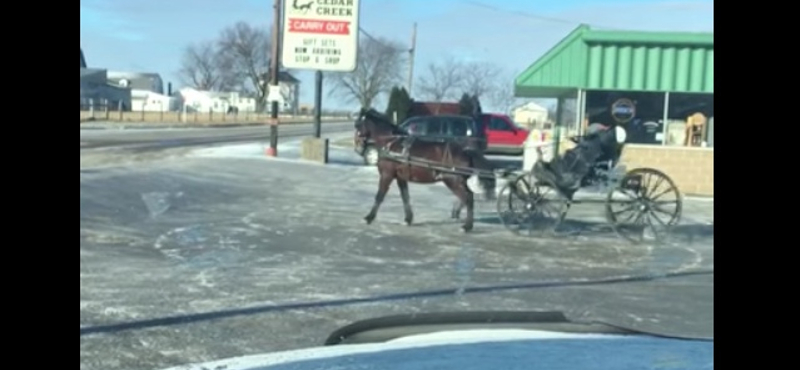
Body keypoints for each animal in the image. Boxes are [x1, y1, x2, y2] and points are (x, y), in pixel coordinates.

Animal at [354, 108, 500, 233]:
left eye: (359, 124)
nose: (357, 143)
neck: (391, 143)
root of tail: (465, 151)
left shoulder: (387, 175)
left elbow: (379, 196)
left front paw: (368, 217)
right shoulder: (400, 177)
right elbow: (405, 197)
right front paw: (408, 219)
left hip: (452, 180)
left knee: (468, 198)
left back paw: (467, 226)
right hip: (457, 181)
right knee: (468, 197)